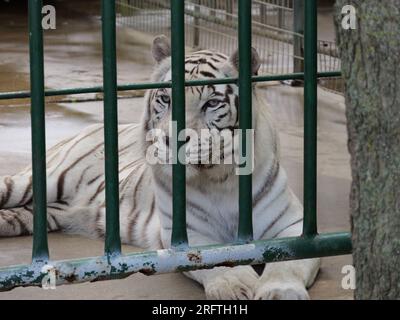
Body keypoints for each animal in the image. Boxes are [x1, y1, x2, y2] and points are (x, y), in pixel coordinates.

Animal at [0, 35, 318, 300]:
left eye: (212, 103)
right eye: (165, 99)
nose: (171, 139)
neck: (219, 178)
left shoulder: (294, 226)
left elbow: (288, 261)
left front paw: (281, 292)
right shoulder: (188, 234)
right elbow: (217, 260)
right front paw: (237, 285)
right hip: (34, 182)